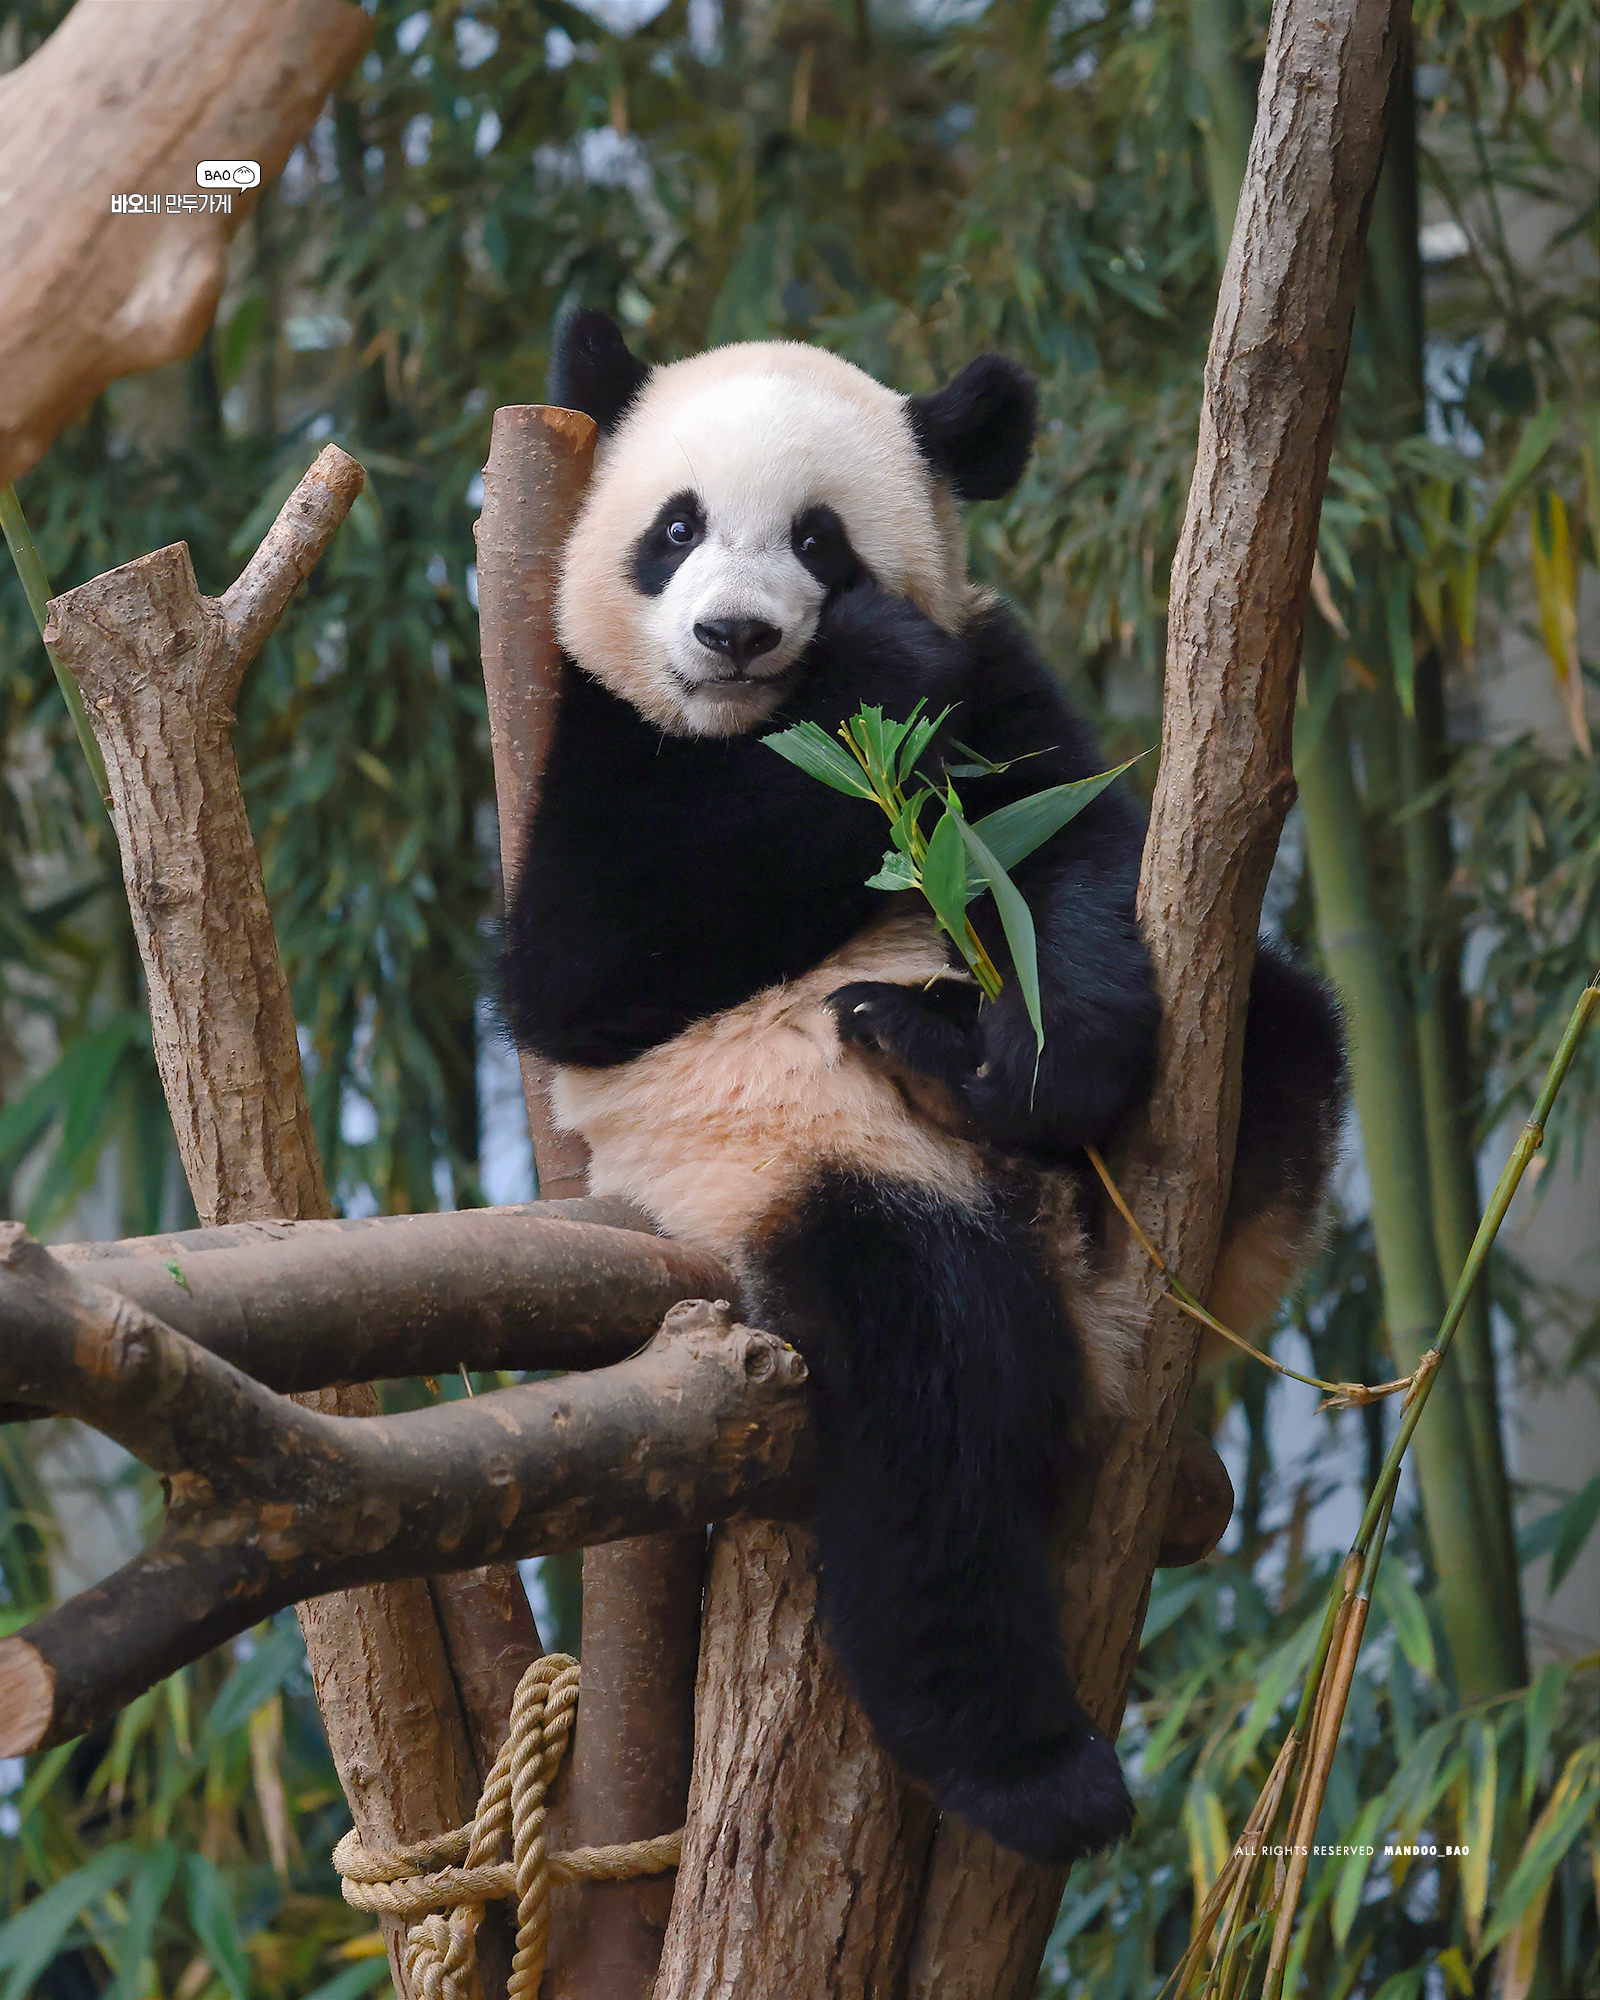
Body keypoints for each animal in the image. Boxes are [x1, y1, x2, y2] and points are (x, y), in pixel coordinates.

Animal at [496, 304, 1336, 1864]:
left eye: (819, 540)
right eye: (675, 527)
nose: (734, 634)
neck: (762, 731)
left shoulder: (1001, 689)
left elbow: (1064, 864)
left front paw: (1037, 1061)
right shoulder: (591, 759)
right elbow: (584, 968)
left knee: (1289, 1029)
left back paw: (953, 1061)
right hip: (810, 1173)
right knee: (926, 1396)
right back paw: (1033, 1771)